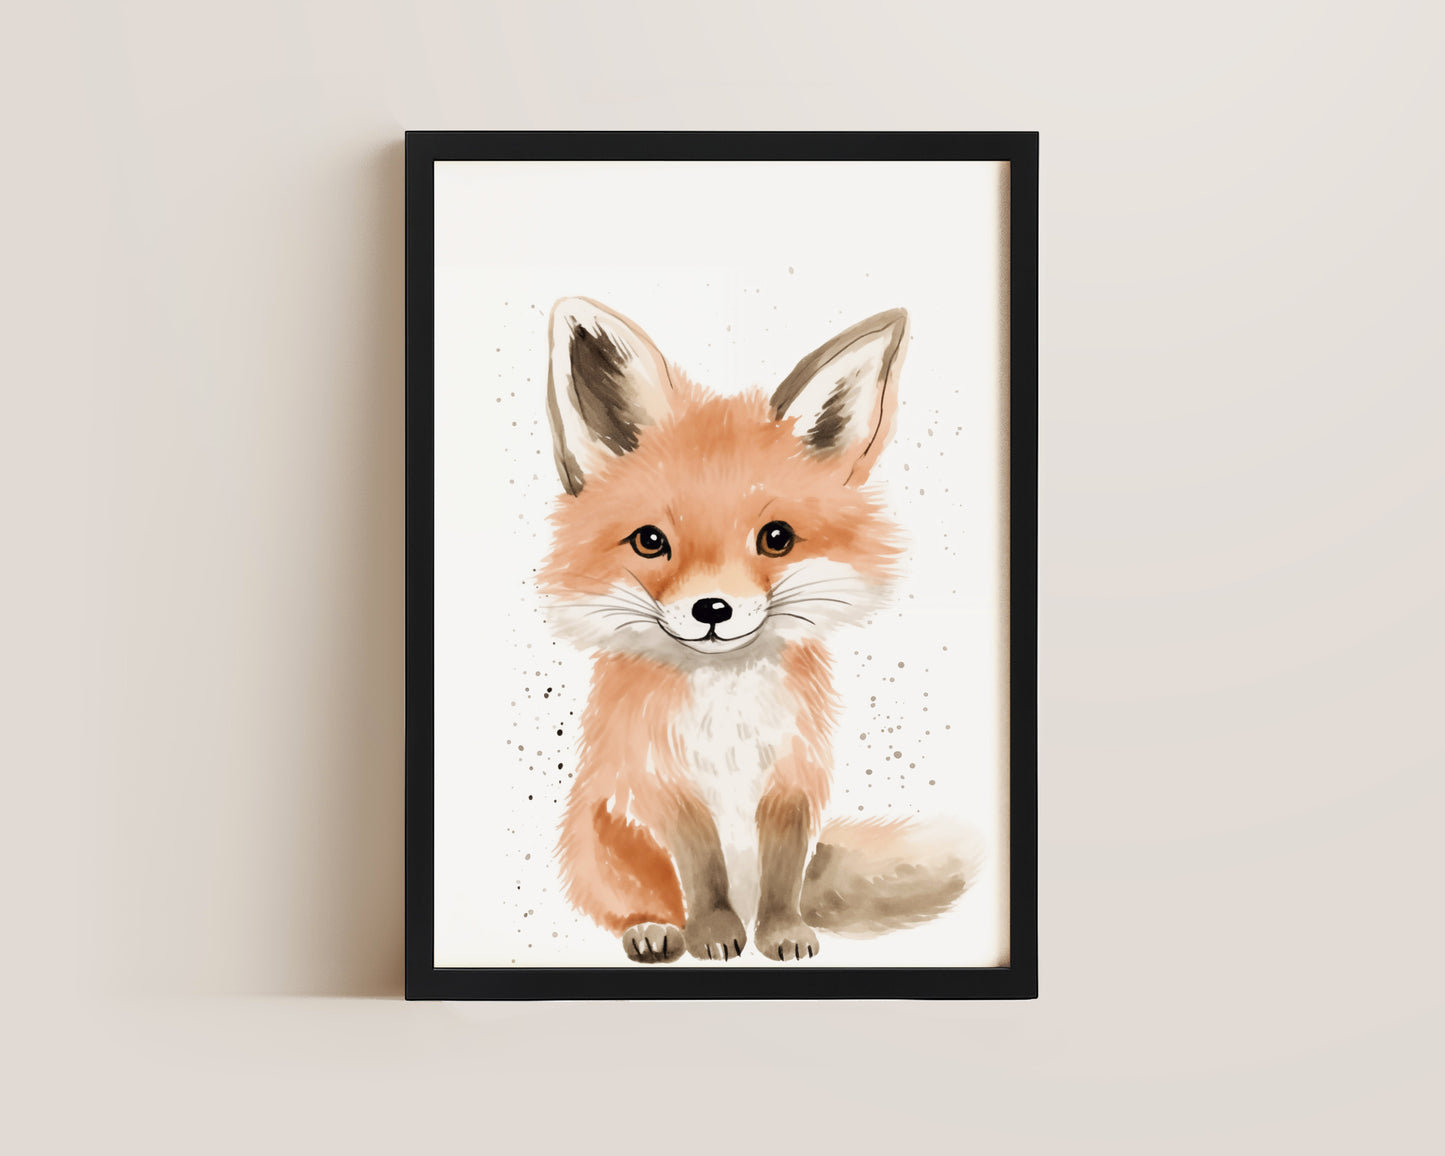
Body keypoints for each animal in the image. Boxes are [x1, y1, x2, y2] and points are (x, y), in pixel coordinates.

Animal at [538, 297, 973, 963]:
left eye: (776, 538)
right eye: (650, 541)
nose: (712, 609)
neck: (728, 710)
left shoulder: (794, 781)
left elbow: (782, 874)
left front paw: (782, 933)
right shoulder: (662, 785)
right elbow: (701, 871)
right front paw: (714, 932)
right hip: (598, 835)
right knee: (632, 899)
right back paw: (654, 929)